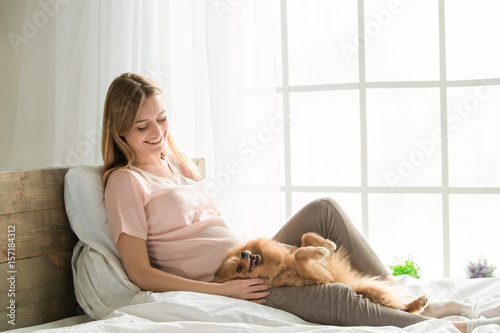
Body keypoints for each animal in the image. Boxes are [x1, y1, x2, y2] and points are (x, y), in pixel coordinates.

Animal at [214, 231, 426, 312]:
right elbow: (301, 254)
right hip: (370, 291)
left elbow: (305, 238)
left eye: (239, 258)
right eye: (239, 268)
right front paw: (320, 251)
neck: (278, 264)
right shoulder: (312, 272)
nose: (244, 253)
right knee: (398, 307)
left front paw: (327, 244)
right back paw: (417, 304)